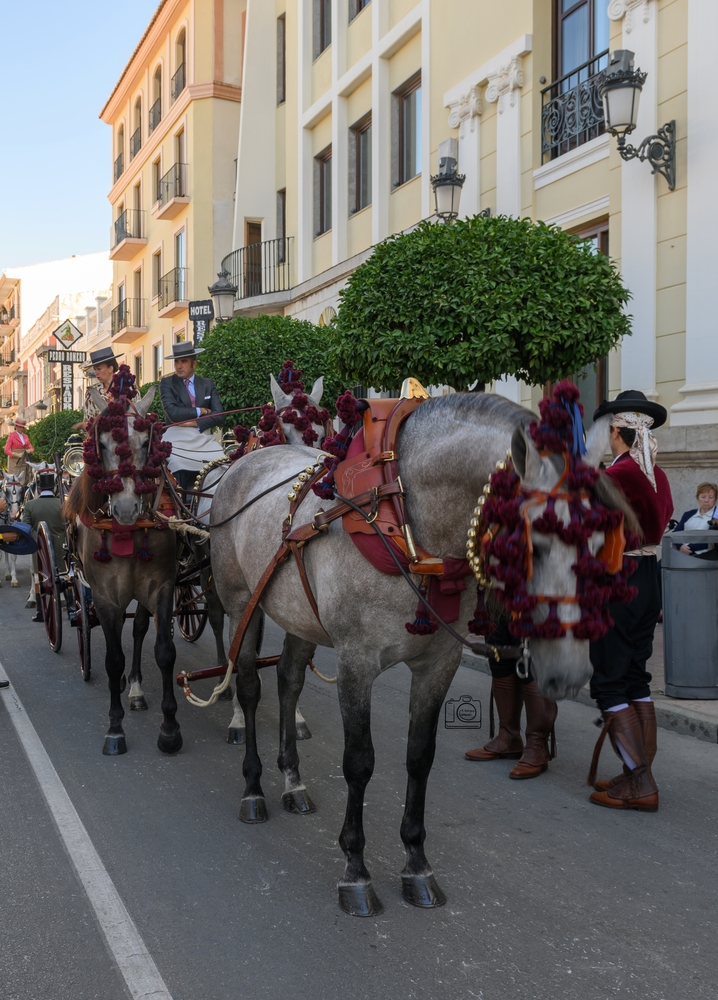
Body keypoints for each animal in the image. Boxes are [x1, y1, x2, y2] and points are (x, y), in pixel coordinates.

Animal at [64, 384, 181, 756]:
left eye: (146, 443)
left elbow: (164, 652)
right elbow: (113, 658)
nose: (127, 507)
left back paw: (137, 689)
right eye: (101, 444)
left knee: (140, 629)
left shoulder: (161, 586)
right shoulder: (105, 596)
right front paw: (115, 729)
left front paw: (169, 728)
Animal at [209, 391, 637, 916]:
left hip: (299, 616)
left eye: (602, 543)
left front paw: (416, 863)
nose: (570, 674)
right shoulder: (356, 663)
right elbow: (360, 761)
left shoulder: (438, 665)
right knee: (248, 686)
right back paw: (253, 788)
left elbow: (420, 756)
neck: (407, 523)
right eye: (531, 544)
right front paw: (356, 869)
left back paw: (293, 781)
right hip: (239, 605)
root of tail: (243, 461)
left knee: (288, 681)